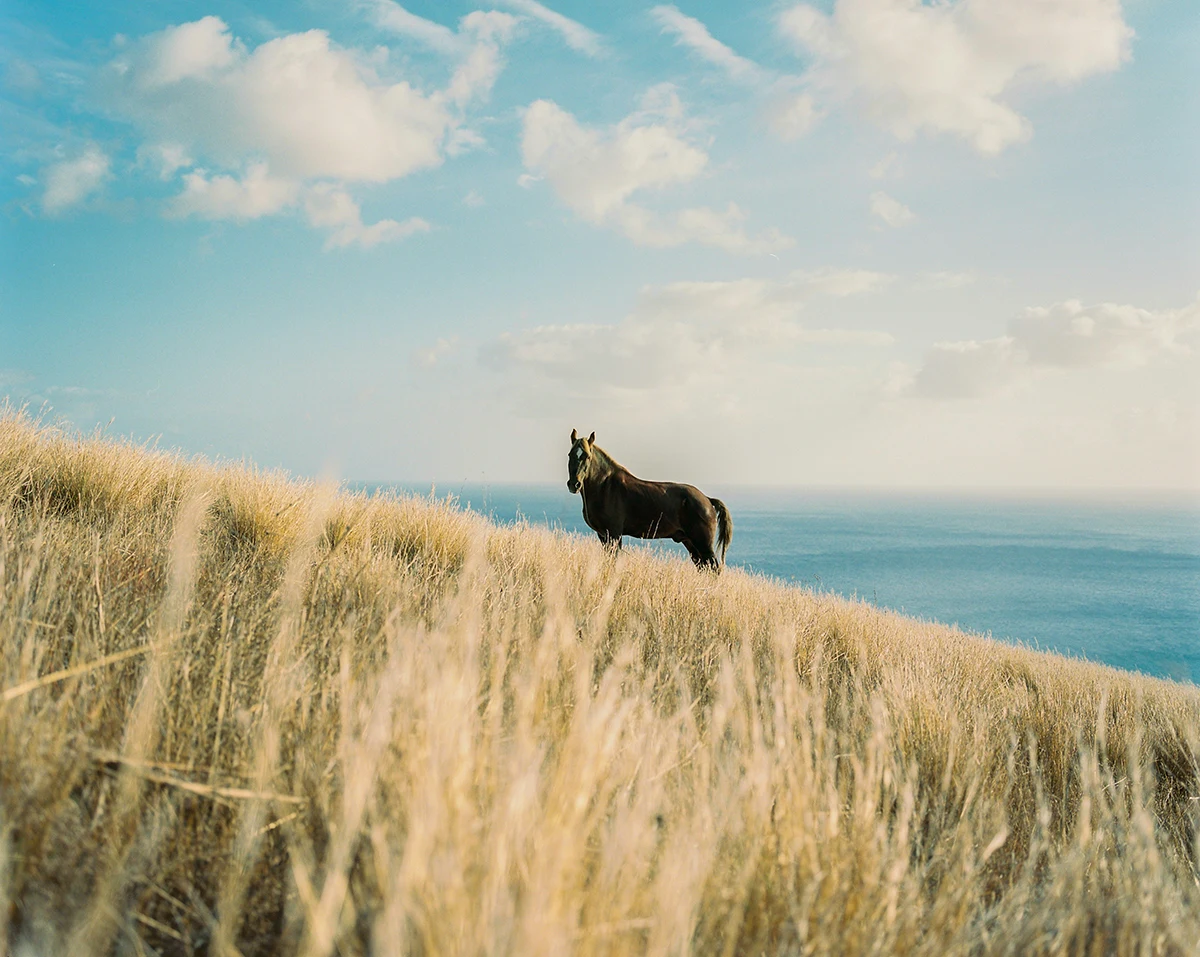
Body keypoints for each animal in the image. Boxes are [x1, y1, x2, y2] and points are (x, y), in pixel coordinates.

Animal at [566, 429, 732, 570]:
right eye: (570, 454)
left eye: (587, 456)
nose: (574, 484)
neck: (604, 486)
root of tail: (707, 500)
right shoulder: (602, 535)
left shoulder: (614, 534)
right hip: (690, 543)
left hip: (703, 544)